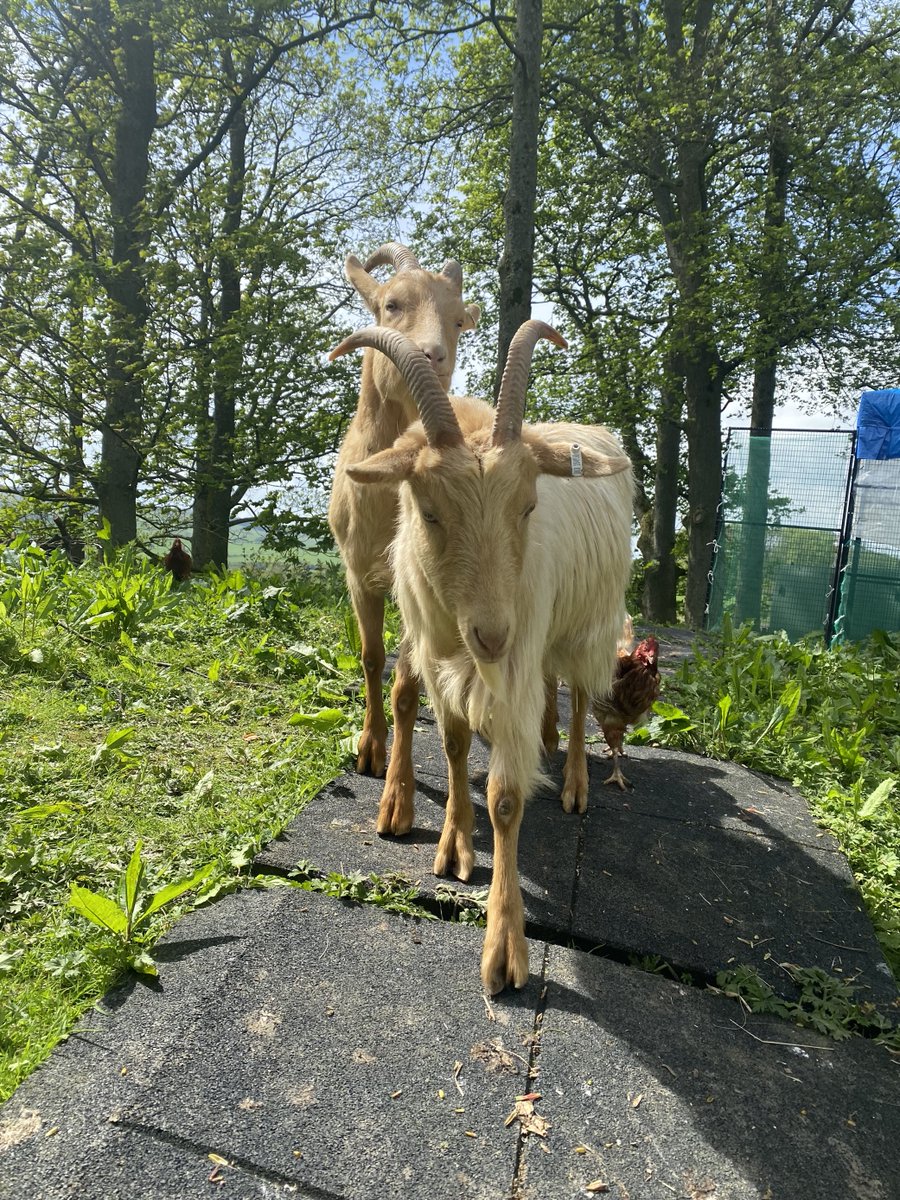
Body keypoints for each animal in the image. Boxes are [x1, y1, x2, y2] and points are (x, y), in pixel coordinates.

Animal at [328, 242, 480, 837]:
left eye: (458, 319)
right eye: (391, 304)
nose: (433, 356)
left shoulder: (418, 590)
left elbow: (407, 687)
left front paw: (396, 802)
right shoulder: (357, 574)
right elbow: (372, 658)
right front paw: (369, 750)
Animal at [330, 320, 633, 995]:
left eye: (529, 506)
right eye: (429, 510)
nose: (493, 635)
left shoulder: (511, 662)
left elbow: (505, 798)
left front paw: (504, 948)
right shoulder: (445, 662)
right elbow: (452, 746)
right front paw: (452, 847)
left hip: (587, 623)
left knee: (579, 697)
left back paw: (574, 781)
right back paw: (546, 739)